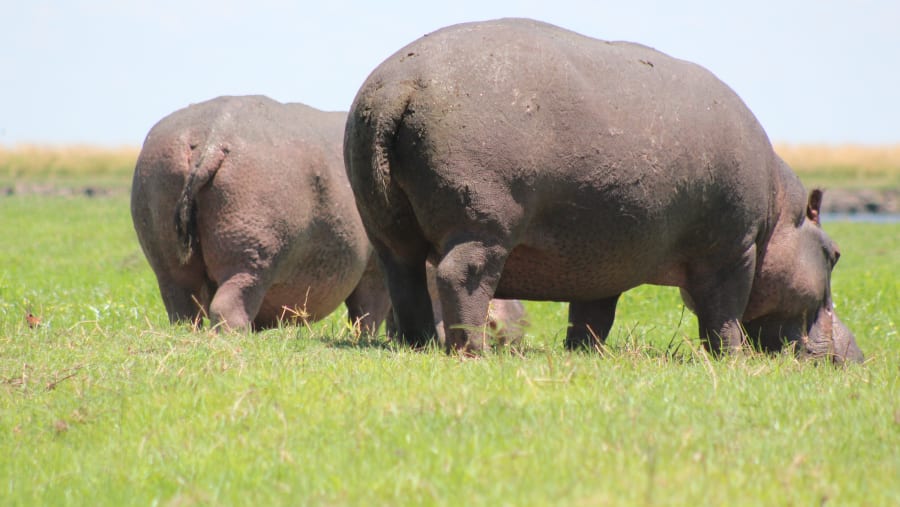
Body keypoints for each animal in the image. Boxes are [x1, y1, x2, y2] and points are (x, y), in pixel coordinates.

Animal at [343, 18, 863, 363]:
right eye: (834, 254)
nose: (857, 354)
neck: (781, 216)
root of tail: (399, 84)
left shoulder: (603, 258)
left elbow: (593, 314)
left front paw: (584, 354)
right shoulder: (733, 249)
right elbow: (723, 313)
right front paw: (732, 362)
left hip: (387, 227)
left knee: (405, 280)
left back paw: (419, 344)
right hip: (482, 226)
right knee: (461, 277)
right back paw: (472, 351)